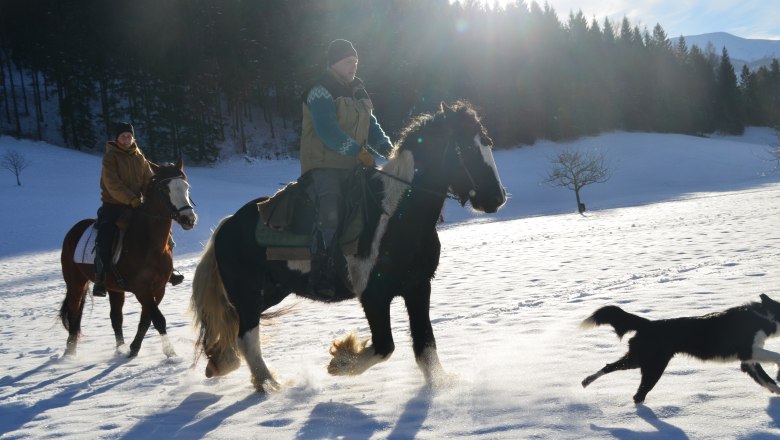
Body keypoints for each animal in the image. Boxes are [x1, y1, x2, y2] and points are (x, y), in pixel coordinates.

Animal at [59, 160, 197, 360]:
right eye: (164, 189)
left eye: (186, 187)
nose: (189, 219)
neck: (149, 243)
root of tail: (74, 230)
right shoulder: (141, 289)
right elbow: (158, 319)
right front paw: (170, 352)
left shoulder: (158, 289)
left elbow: (146, 319)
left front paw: (134, 348)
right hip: (75, 283)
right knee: (74, 312)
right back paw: (70, 352)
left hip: (113, 288)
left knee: (116, 317)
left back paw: (120, 348)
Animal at [189, 101, 506, 390]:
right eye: (466, 148)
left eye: (487, 142)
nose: (497, 197)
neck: (394, 216)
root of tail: (227, 224)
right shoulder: (373, 295)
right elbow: (384, 347)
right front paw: (340, 361)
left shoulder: (418, 287)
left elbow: (425, 343)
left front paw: (440, 385)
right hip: (249, 293)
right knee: (247, 337)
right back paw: (268, 384)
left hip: (270, 291)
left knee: (237, 328)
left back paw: (225, 365)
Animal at [580, 294, 780, 404]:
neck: (764, 316)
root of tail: (648, 324)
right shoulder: (747, 350)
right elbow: (776, 356)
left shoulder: (749, 362)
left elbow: (768, 380)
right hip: (653, 366)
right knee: (638, 394)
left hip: (639, 359)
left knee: (610, 367)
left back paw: (586, 381)